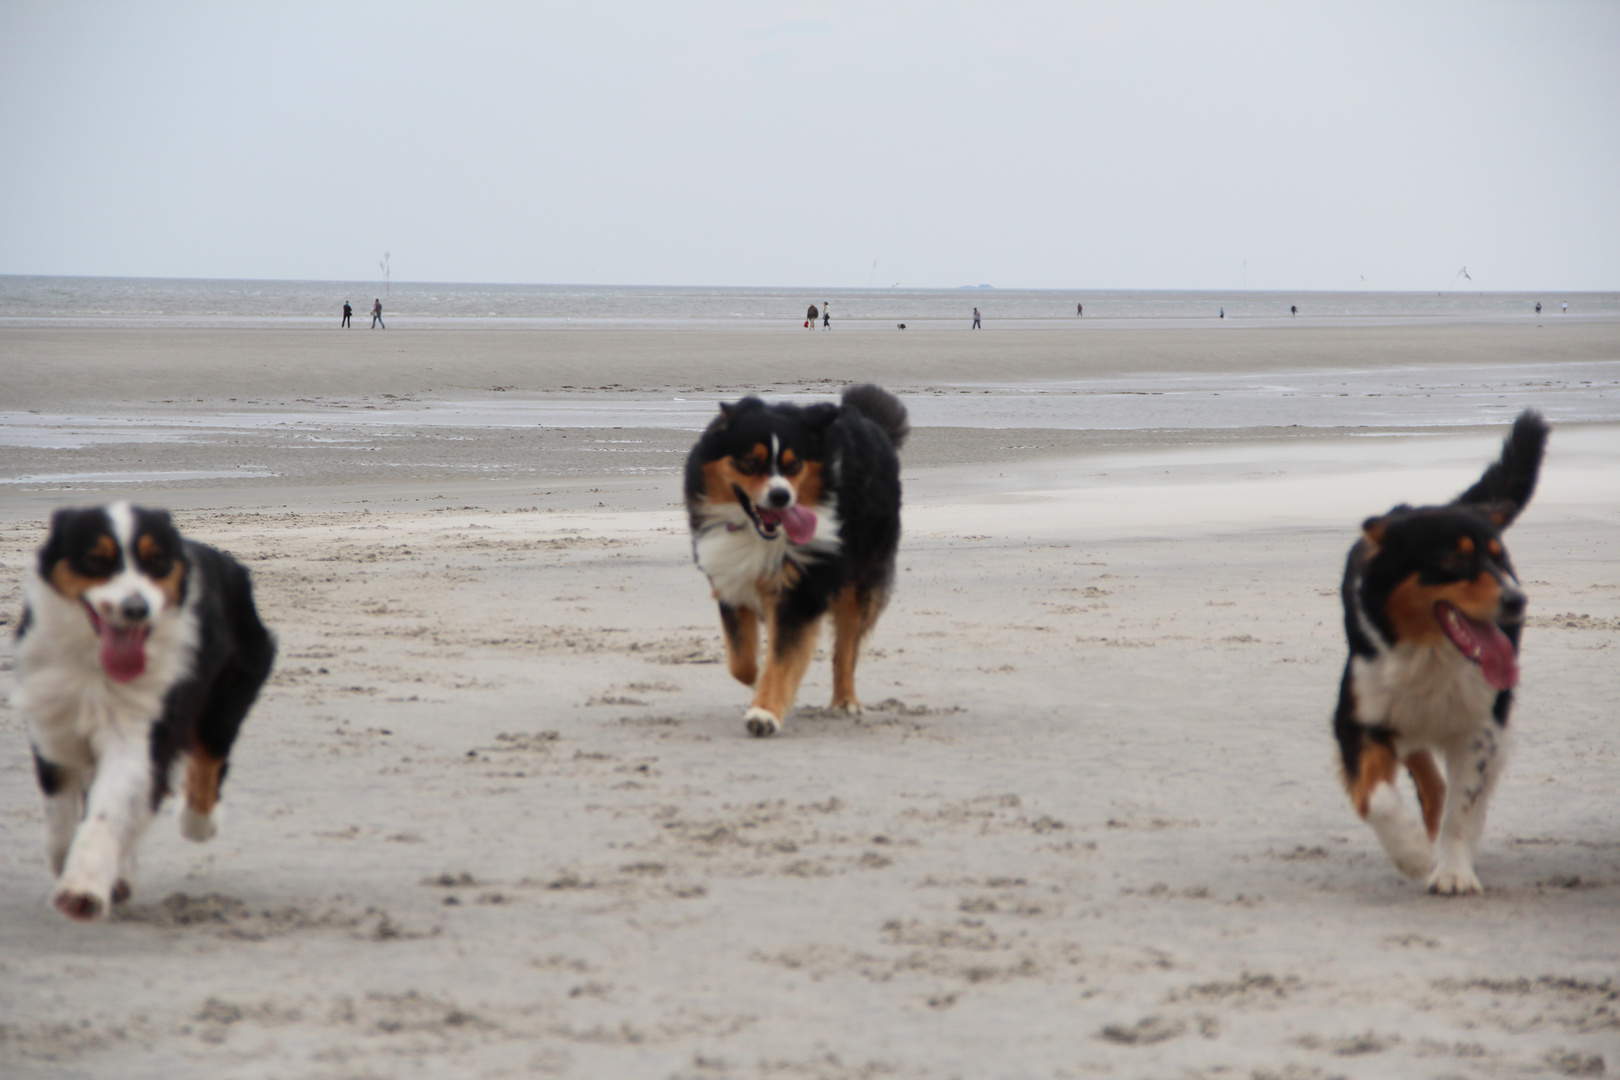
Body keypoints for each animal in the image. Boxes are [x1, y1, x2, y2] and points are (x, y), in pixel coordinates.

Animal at [14, 505, 273, 919]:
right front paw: (75, 866)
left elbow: (108, 809)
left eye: (157, 562)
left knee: (208, 758)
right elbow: (60, 817)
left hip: (229, 690)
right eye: (96, 559)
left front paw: (82, 889)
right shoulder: (53, 723)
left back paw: (198, 824)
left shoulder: (139, 731)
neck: (96, 667)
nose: (136, 609)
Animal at [1334, 409, 1548, 893]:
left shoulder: (1479, 729)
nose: (1517, 600)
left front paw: (1452, 871)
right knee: (1425, 775)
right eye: (1454, 559)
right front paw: (1412, 854)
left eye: (1499, 559)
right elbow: (1376, 797)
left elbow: (1461, 809)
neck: (1429, 654)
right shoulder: (1359, 718)